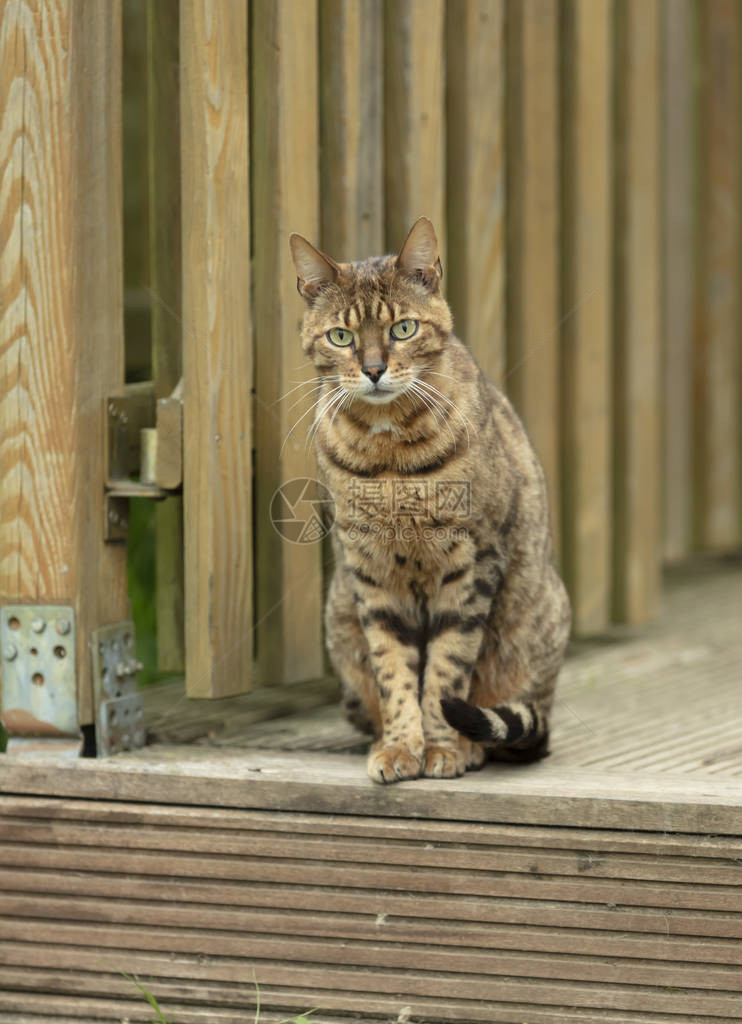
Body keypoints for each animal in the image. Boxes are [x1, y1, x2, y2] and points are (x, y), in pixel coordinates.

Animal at [288, 218, 569, 782]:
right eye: (341, 337)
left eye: (403, 329)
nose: (374, 369)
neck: (390, 459)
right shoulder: (371, 573)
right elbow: (394, 669)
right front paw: (401, 747)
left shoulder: (472, 563)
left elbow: (446, 669)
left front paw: (441, 748)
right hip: (342, 624)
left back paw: (475, 745)